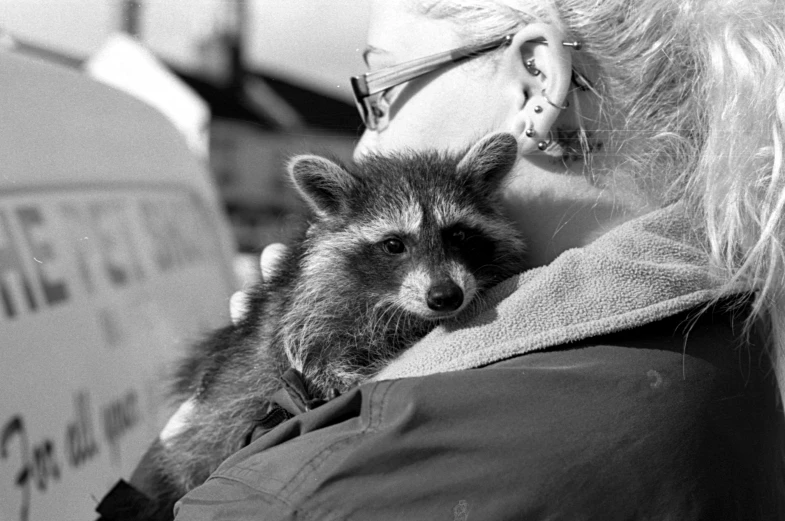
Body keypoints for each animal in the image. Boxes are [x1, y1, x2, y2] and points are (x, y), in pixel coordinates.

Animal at [138, 132, 528, 516]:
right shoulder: (308, 305)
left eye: (458, 235)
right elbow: (310, 348)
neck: (397, 305)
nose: (446, 296)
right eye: (393, 244)